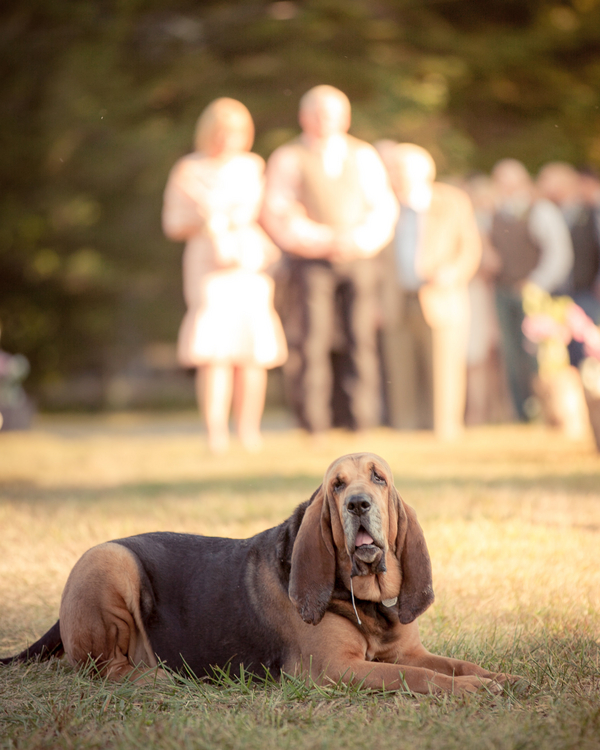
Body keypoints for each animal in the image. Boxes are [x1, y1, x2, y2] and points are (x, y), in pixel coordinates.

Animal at [2, 452, 512, 692]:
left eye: (378, 478)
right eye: (336, 485)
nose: (358, 504)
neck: (365, 601)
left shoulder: (408, 652)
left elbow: (453, 664)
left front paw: (499, 678)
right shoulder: (336, 669)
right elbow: (420, 678)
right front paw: (469, 690)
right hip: (109, 561)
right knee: (99, 668)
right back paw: (160, 678)